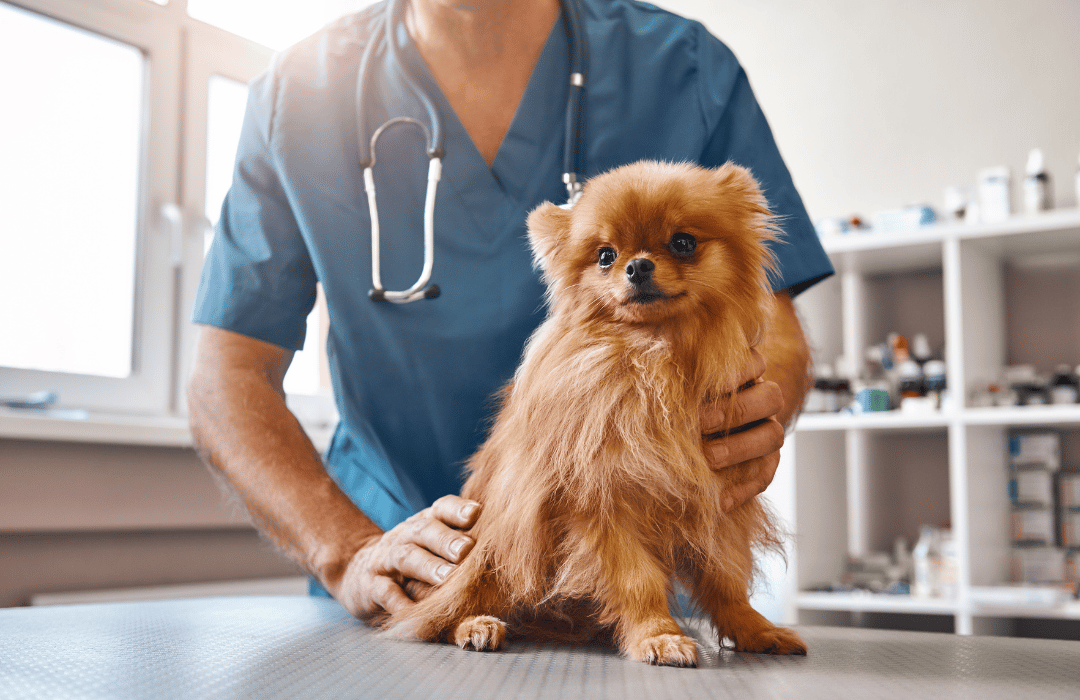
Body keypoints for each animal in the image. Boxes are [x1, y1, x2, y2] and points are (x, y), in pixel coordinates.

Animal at [384, 159, 807, 665]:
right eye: (605, 256)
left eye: (683, 243)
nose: (637, 265)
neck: (654, 355)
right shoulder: (600, 505)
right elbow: (638, 581)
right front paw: (657, 636)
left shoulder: (719, 504)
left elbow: (726, 580)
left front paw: (754, 628)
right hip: (491, 546)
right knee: (446, 610)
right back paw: (477, 625)